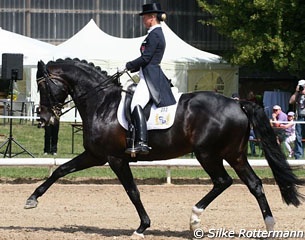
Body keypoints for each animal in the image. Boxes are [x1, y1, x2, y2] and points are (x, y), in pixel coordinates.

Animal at [25, 58, 302, 238]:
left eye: (42, 86)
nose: (44, 118)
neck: (102, 103)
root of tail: (238, 103)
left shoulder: (115, 159)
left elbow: (133, 191)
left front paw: (142, 227)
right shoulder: (95, 155)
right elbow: (60, 170)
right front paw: (31, 199)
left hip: (208, 154)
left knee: (223, 181)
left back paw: (194, 220)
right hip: (235, 155)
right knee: (254, 184)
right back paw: (269, 226)